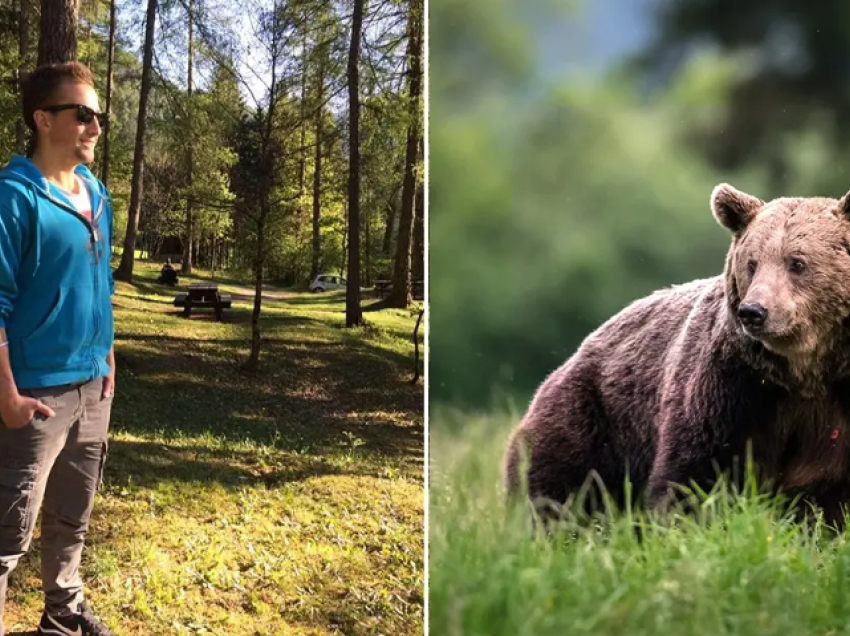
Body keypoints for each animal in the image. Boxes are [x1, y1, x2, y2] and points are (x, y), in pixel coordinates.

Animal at [500, 181, 848, 524]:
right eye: (752, 263)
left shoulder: (830, 407)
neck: (802, 372)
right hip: (593, 419)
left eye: (797, 262)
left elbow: (830, 495)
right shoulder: (731, 388)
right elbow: (695, 472)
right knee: (556, 488)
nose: (754, 311)